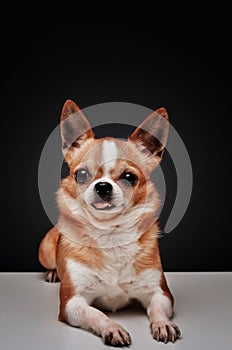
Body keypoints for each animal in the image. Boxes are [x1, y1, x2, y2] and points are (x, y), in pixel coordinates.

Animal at [38, 100, 181, 346]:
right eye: (81, 174)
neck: (110, 234)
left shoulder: (160, 293)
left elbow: (158, 310)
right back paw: (53, 273)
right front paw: (113, 328)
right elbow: (96, 314)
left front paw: (163, 324)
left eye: (129, 177)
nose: (103, 186)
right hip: (45, 249)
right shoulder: (72, 302)